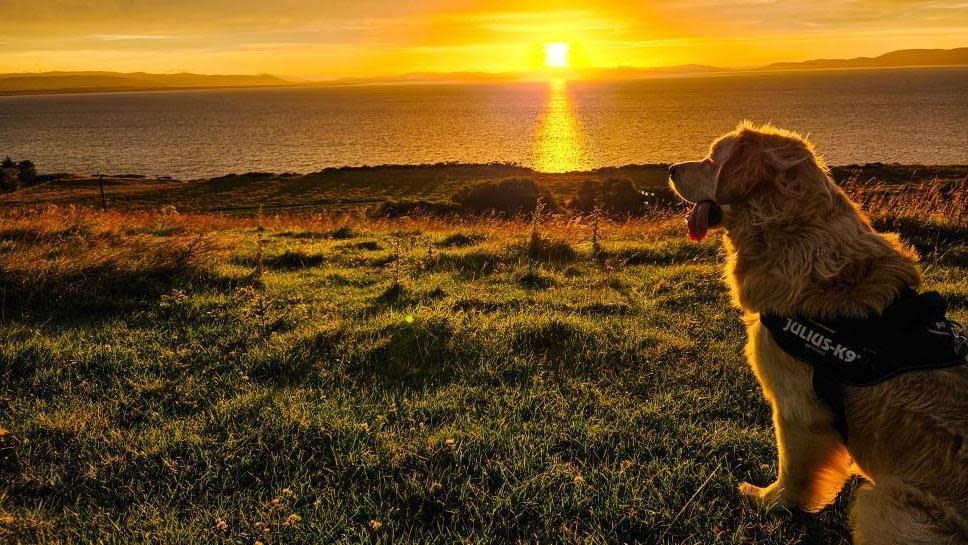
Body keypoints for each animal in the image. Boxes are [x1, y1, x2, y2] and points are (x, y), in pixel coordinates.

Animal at [668, 123, 964, 544]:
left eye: (713, 159)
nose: (671, 169)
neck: (795, 235)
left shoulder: (797, 407)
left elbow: (791, 467)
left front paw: (772, 501)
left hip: (879, 501)